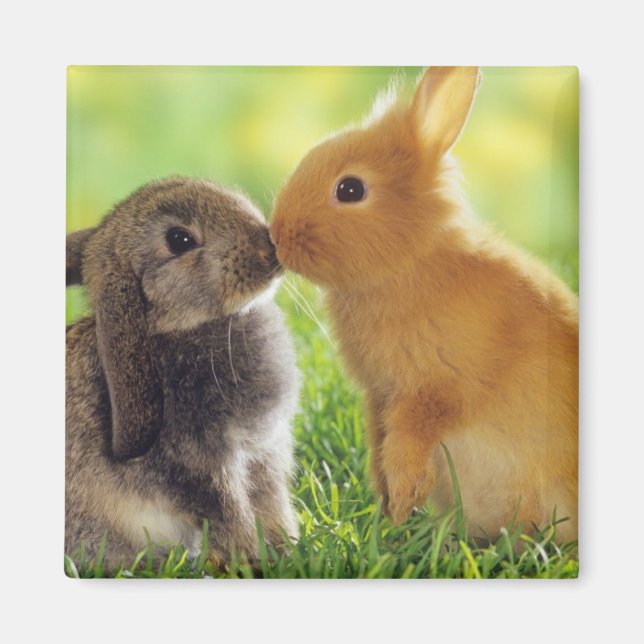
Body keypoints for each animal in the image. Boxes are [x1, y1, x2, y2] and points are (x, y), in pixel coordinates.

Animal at [65, 176, 300, 572]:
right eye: (180, 240)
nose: (268, 247)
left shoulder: (263, 454)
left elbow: (272, 506)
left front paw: (289, 551)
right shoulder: (200, 465)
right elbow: (230, 514)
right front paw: (254, 561)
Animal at [270, 67, 578, 543]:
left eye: (350, 188)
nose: (276, 235)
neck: (409, 263)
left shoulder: (434, 391)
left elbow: (407, 444)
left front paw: (401, 502)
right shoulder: (379, 397)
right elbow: (380, 445)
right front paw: (388, 511)